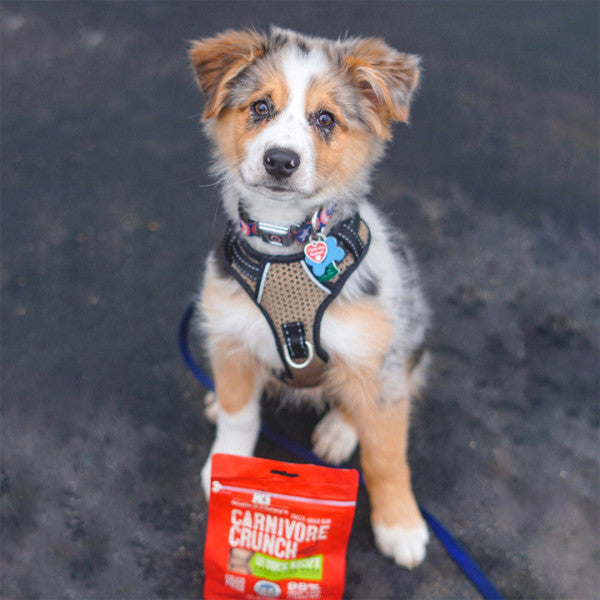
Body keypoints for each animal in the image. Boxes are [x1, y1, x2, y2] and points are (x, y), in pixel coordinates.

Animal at [190, 27, 428, 568]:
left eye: (325, 119)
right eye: (260, 107)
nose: (280, 160)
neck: (288, 247)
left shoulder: (376, 355)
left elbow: (386, 453)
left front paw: (400, 524)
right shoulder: (231, 335)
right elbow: (239, 416)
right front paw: (223, 466)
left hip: (408, 340)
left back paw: (339, 431)